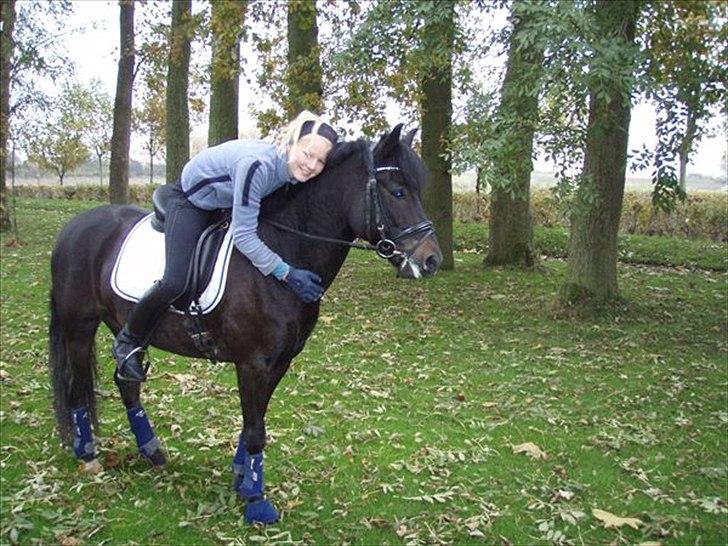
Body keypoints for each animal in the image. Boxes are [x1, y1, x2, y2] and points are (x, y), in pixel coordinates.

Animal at [48, 125, 442, 524]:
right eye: (398, 191)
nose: (431, 261)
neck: (281, 254)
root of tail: (74, 227)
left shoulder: (279, 362)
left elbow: (255, 422)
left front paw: (243, 478)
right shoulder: (252, 364)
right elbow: (255, 430)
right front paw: (256, 501)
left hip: (124, 326)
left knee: (126, 381)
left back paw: (151, 450)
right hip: (79, 327)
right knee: (78, 387)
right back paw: (87, 453)